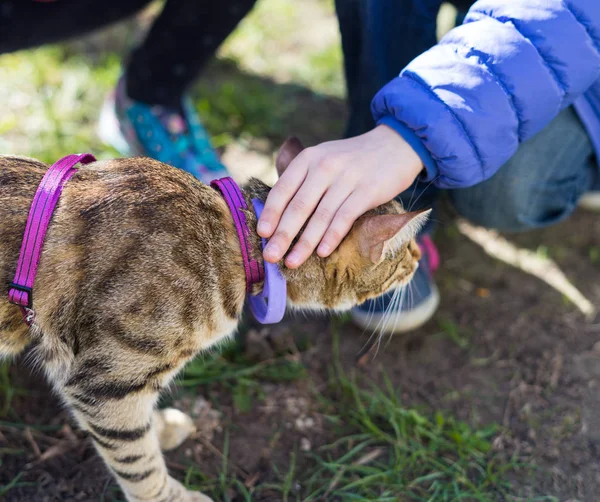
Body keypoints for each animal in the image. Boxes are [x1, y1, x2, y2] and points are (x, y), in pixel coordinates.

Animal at [0, 138, 426, 502]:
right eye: (405, 252)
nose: (420, 255)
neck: (239, 242)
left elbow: (138, 431)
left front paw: (160, 428)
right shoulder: (102, 379)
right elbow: (137, 460)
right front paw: (170, 495)